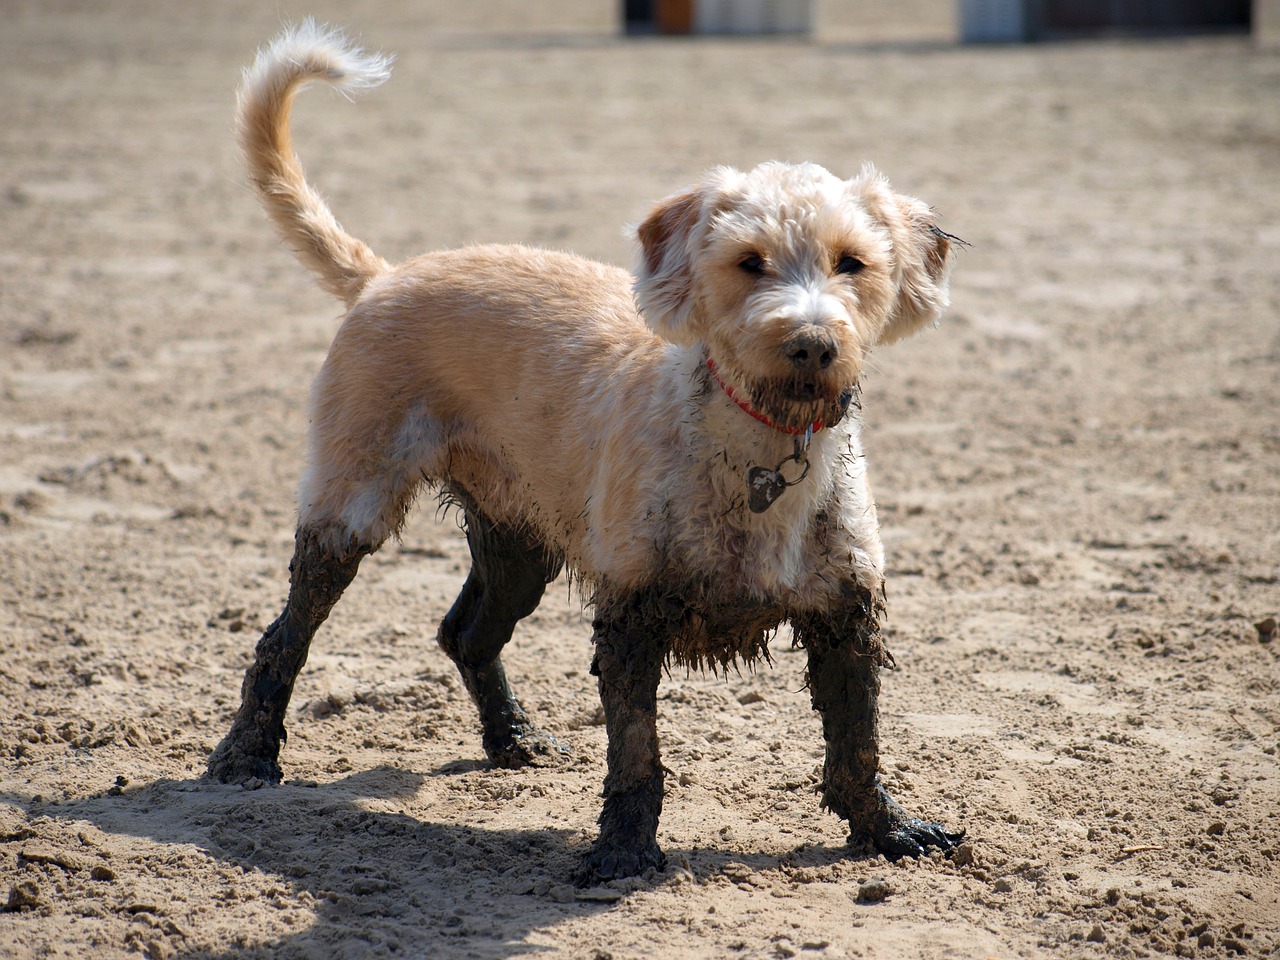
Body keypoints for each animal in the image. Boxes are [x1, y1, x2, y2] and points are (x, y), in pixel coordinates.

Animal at [209, 16, 962, 885]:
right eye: (749, 263)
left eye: (853, 263)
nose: (810, 344)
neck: (760, 452)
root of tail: (383, 277)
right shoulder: (631, 615)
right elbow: (637, 755)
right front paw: (624, 851)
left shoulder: (845, 614)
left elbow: (857, 745)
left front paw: (889, 830)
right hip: (349, 505)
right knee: (284, 638)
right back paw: (245, 757)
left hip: (518, 537)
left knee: (466, 633)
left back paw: (512, 739)